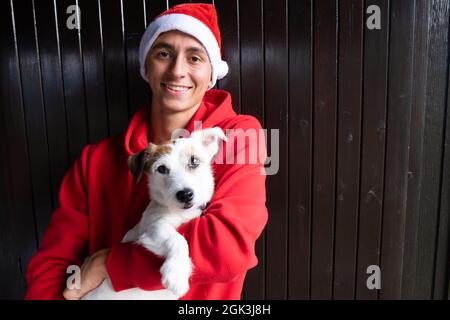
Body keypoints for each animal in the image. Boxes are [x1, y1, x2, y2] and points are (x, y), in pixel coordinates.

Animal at [81, 127, 225, 300]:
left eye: (194, 161)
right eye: (161, 169)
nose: (185, 195)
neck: (180, 212)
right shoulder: (154, 228)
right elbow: (178, 239)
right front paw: (176, 273)